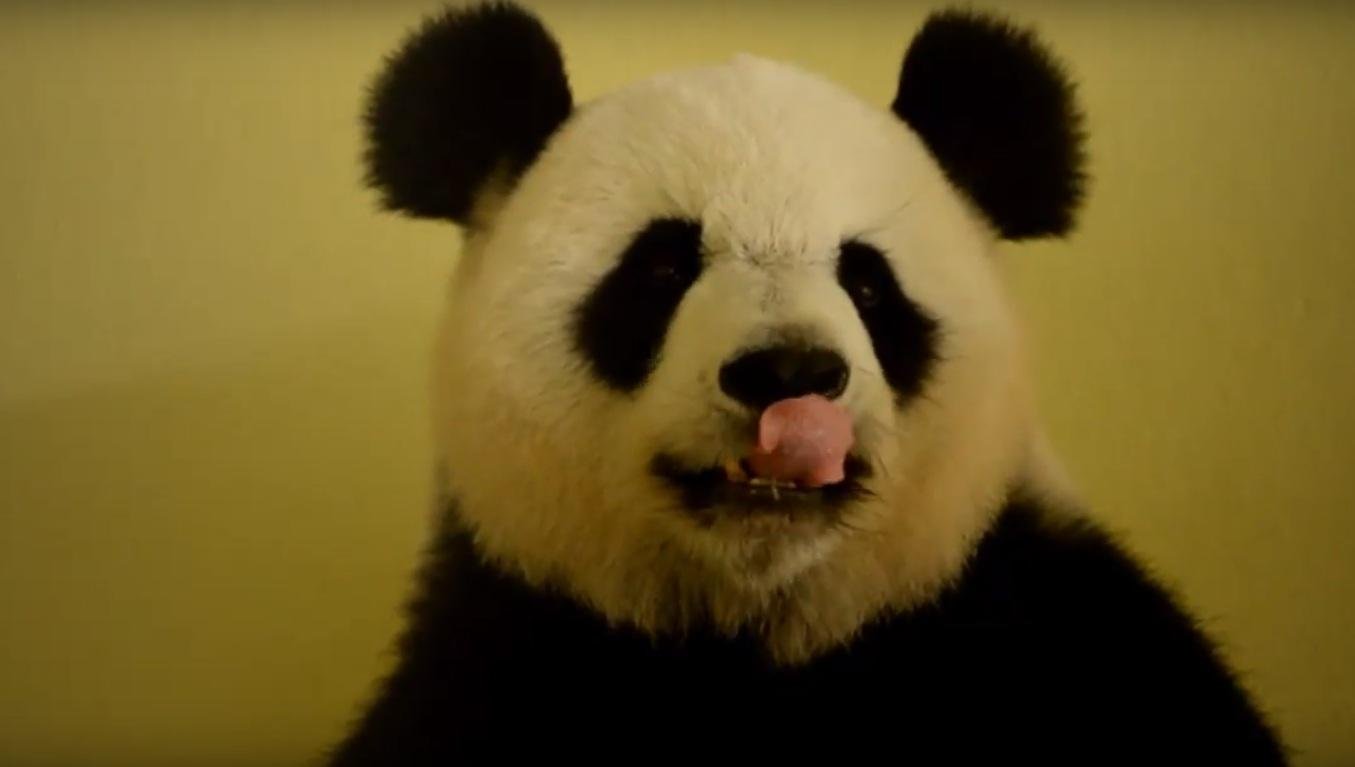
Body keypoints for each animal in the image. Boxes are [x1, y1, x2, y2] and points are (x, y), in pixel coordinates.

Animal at [329, 3, 1286, 763]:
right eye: (661, 267)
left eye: (866, 282)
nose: (789, 372)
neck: (755, 629)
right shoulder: (502, 646)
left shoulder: (1057, 624)